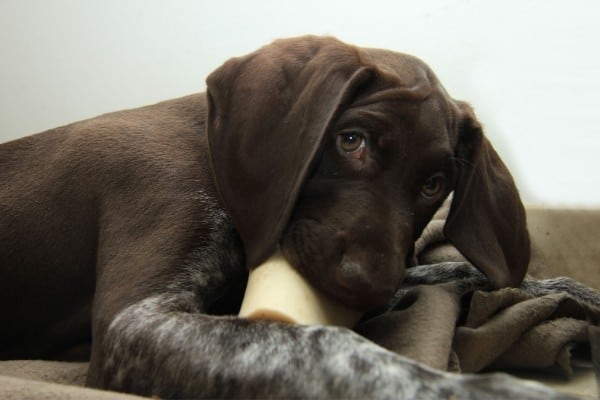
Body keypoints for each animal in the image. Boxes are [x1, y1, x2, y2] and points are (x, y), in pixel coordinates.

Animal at [1, 36, 572, 398]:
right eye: (350, 141)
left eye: (434, 184)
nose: (368, 285)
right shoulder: (133, 323)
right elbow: (330, 345)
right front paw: (487, 390)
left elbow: (451, 269)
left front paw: (558, 288)